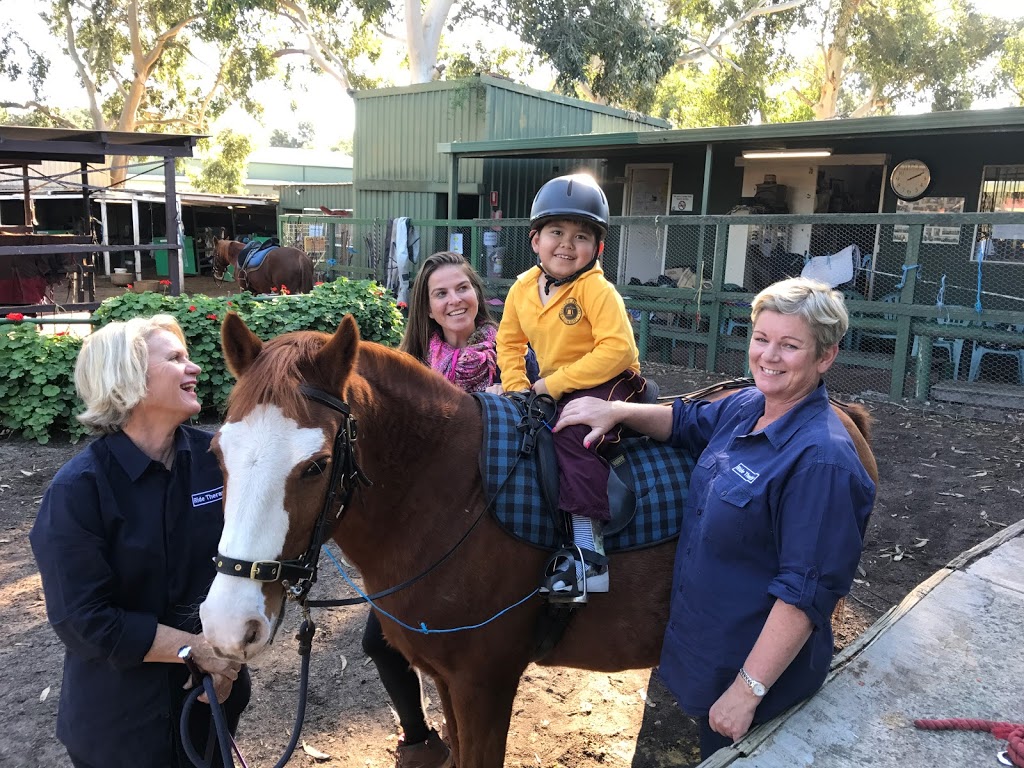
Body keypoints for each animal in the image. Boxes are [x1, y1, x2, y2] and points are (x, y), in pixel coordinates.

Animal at [201, 313, 880, 768]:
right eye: (218, 454)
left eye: (315, 466)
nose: (227, 625)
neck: (451, 496)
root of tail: (842, 413)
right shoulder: (447, 680)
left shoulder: (486, 684)